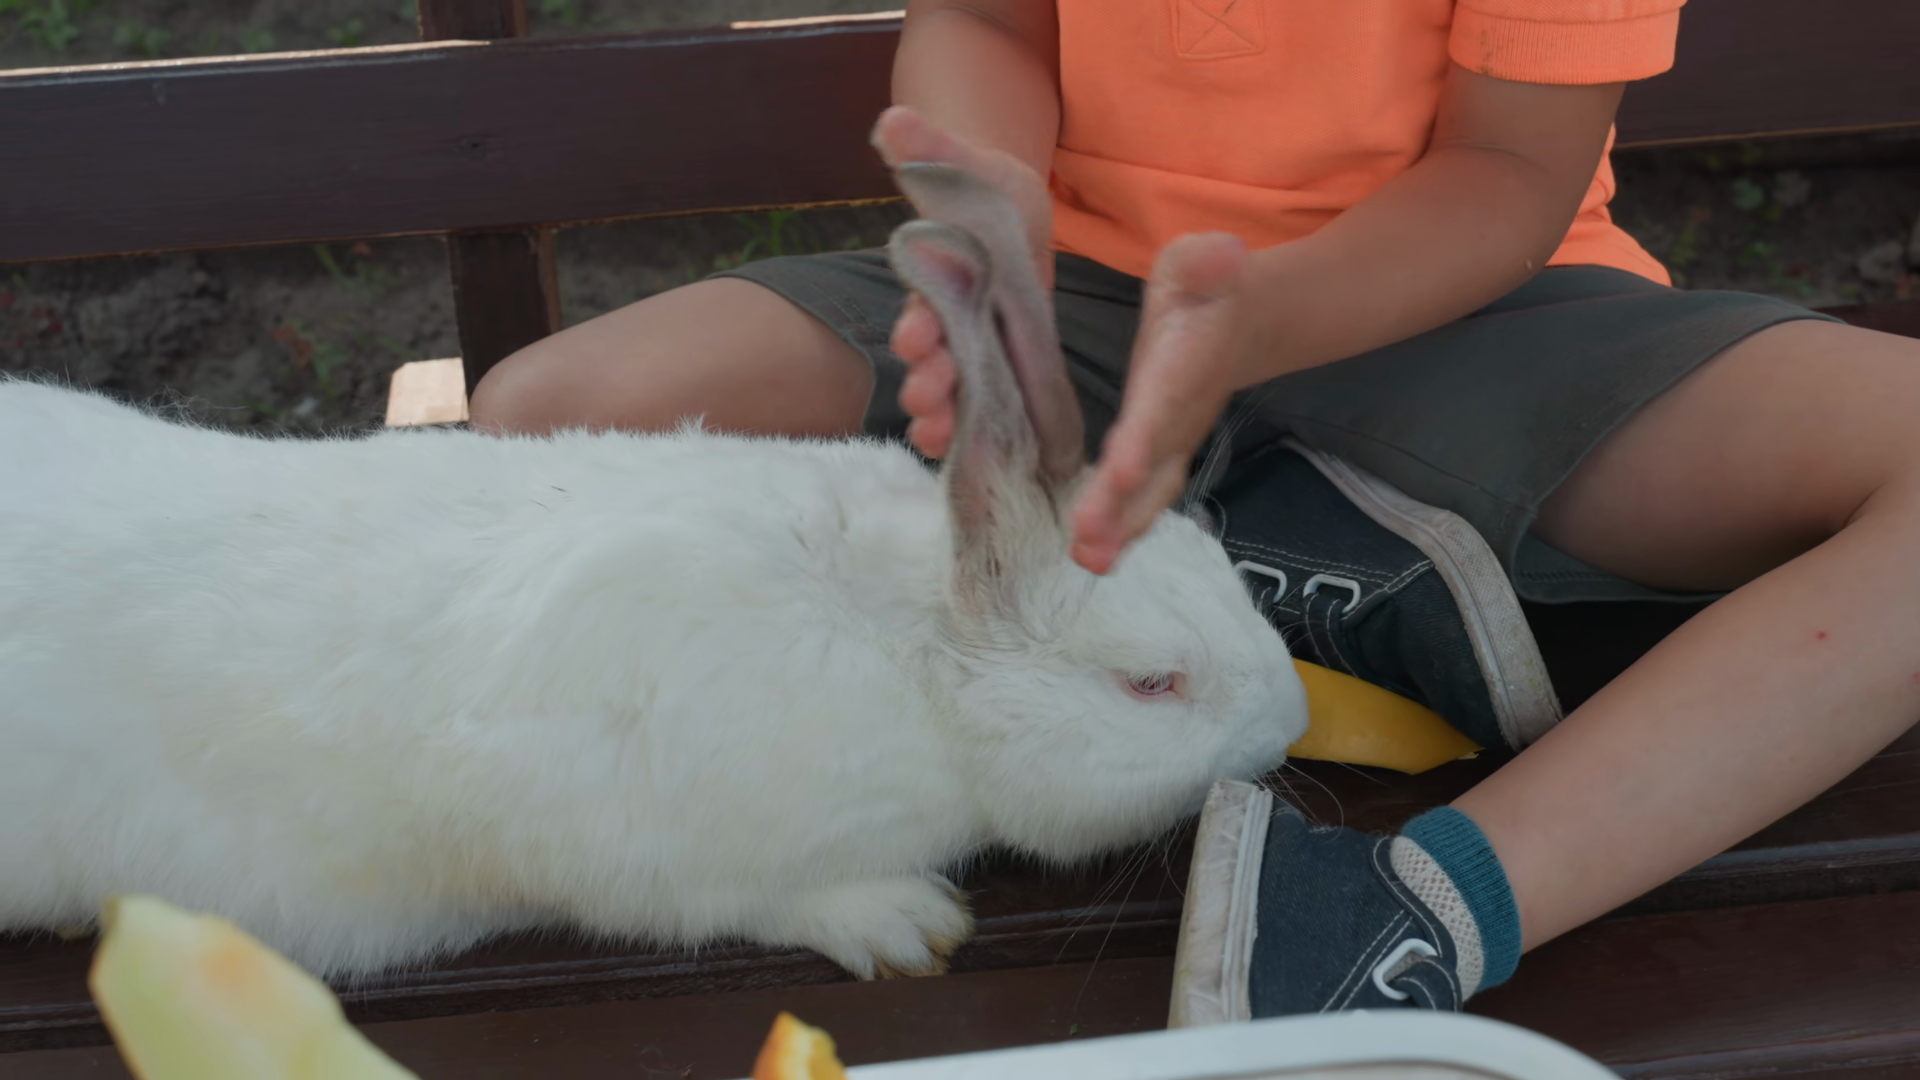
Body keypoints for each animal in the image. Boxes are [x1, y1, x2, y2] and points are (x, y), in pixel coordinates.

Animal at [0, 161, 1307, 981]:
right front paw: (902, 921)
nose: (1294, 723)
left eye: (1222, 561)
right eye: (1150, 684)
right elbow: (730, 903)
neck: (901, 649)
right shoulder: (617, 839)